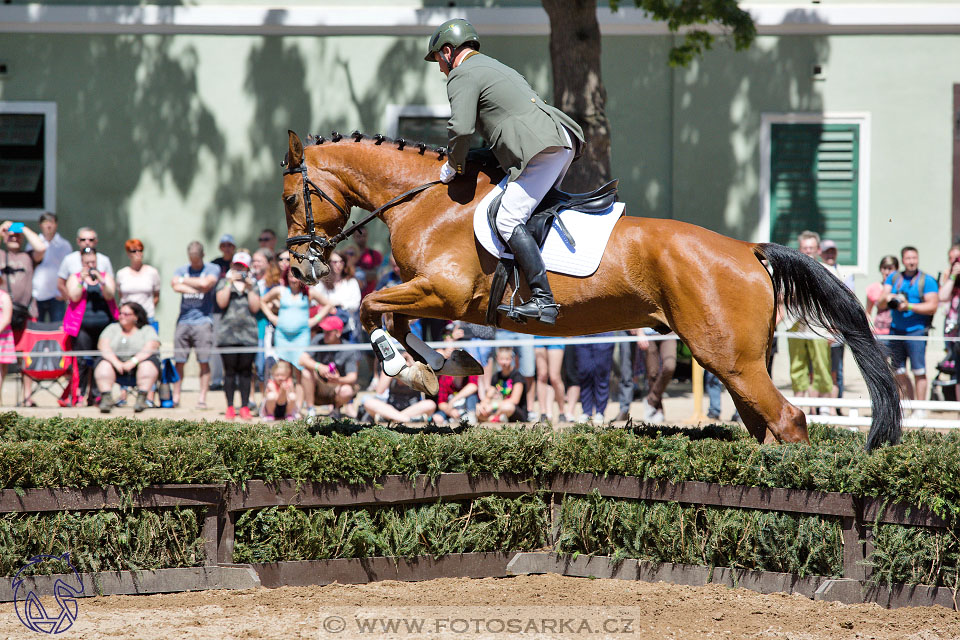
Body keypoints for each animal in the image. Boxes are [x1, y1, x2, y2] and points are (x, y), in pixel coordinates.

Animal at [280, 130, 900, 450]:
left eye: (290, 198)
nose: (300, 268)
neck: (426, 200)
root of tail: (748, 250)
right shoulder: (427, 292)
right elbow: (395, 319)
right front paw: (440, 367)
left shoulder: (443, 292)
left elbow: (369, 307)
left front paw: (404, 368)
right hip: (733, 362)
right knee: (764, 427)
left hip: (729, 357)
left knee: (789, 421)